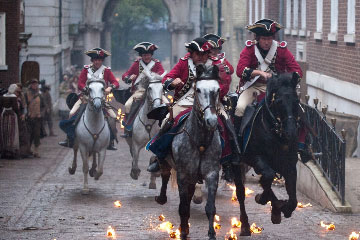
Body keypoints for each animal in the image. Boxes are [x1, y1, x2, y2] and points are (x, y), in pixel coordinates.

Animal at [156, 64, 224, 239]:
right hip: (167, 162)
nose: (211, 121)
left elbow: (210, 208)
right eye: (198, 89)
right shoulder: (183, 175)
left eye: (218, 89)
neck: (200, 141)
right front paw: (183, 232)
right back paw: (161, 198)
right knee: (165, 174)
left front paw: (211, 234)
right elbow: (183, 207)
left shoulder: (212, 174)